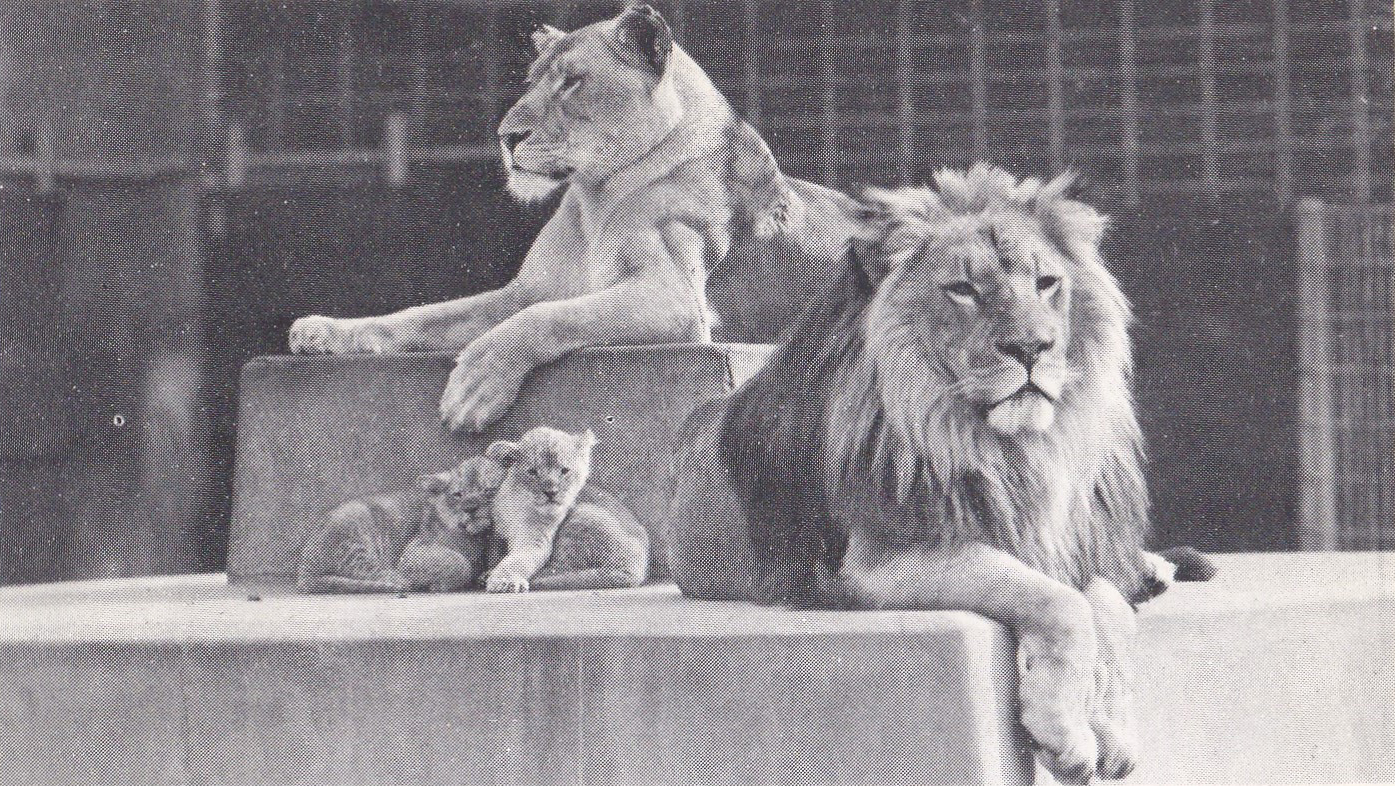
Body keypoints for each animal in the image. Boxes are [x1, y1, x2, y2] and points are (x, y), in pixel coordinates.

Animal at [287, 4, 854, 432]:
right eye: (533, 82)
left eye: (571, 83)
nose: (507, 136)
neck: (596, 197)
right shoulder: (524, 290)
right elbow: (424, 315)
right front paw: (325, 332)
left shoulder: (676, 300)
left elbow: (550, 317)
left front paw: (476, 382)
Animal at [666, 165, 1165, 783]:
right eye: (963, 289)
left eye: (1047, 283)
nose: (1031, 348)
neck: (1014, 448)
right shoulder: (884, 559)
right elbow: (1057, 601)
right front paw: (1065, 733)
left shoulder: (1089, 546)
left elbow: (1111, 612)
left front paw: (1113, 729)